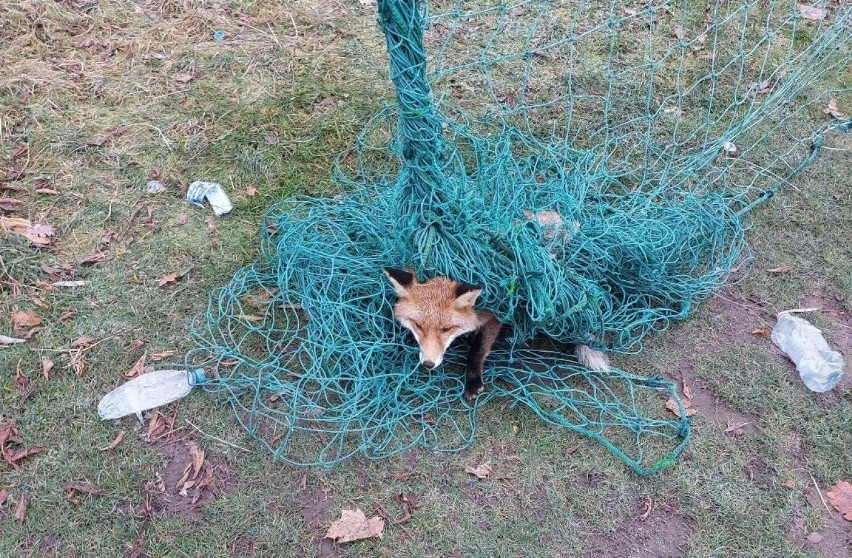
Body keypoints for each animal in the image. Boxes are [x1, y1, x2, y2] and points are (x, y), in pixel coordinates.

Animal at [382, 270, 608, 400]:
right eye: (418, 325)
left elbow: (477, 350)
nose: (428, 364)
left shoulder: (494, 316)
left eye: (446, 329)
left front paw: (473, 381)